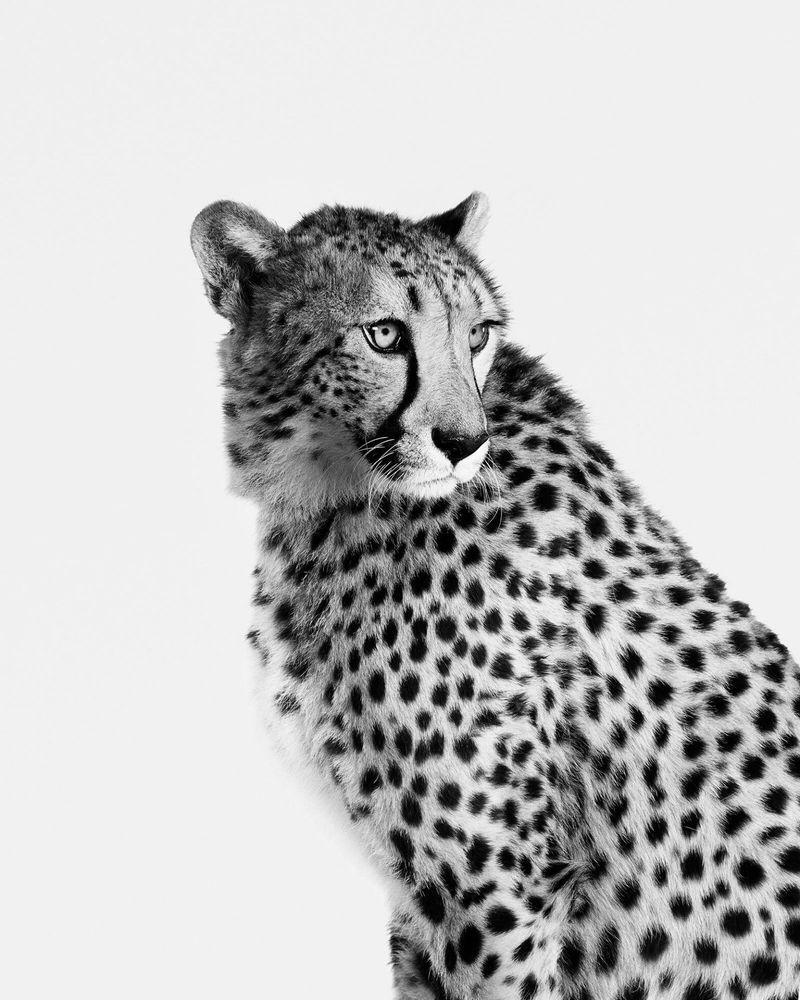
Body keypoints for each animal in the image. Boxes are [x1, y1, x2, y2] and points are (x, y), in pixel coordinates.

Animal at [190, 192, 800, 999]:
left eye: (477, 335)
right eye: (384, 334)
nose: (463, 442)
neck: (335, 498)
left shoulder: (497, 887)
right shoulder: (423, 896)